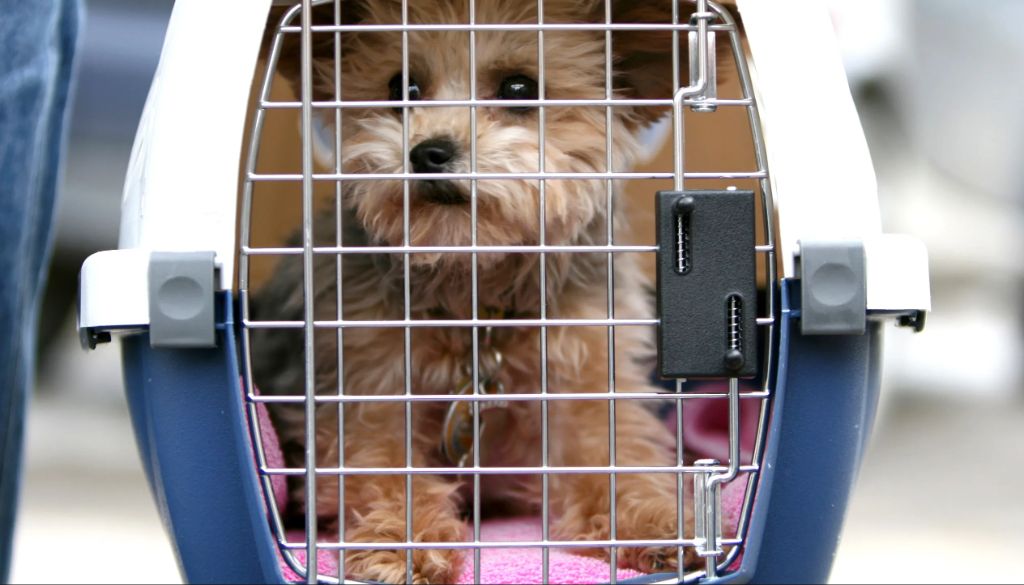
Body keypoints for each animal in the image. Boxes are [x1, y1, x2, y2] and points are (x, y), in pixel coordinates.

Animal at [252, 2, 737, 581]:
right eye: (401, 86)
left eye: (519, 86)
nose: (428, 152)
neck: (475, 288)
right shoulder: (368, 386)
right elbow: (383, 467)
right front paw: (402, 544)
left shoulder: (584, 371)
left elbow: (612, 453)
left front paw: (660, 523)